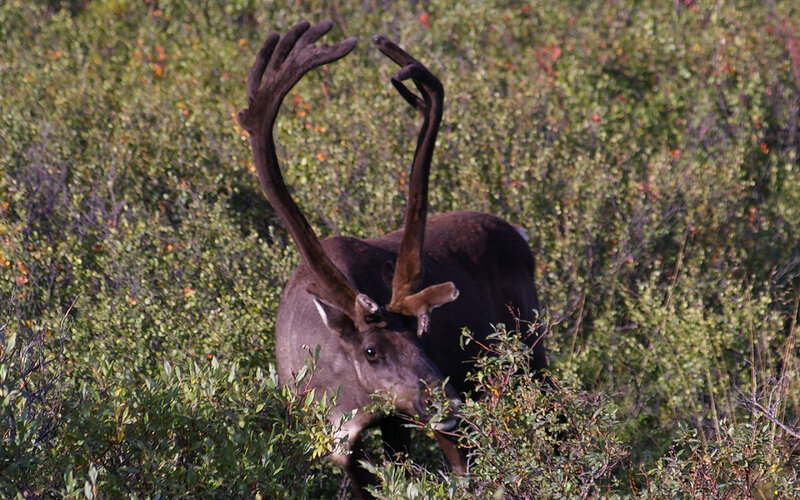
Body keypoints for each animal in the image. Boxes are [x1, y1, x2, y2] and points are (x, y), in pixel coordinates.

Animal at [236, 20, 548, 498]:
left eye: (422, 335)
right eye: (371, 350)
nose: (447, 402)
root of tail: (516, 233)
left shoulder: (407, 417)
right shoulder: (341, 441)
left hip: (529, 351)